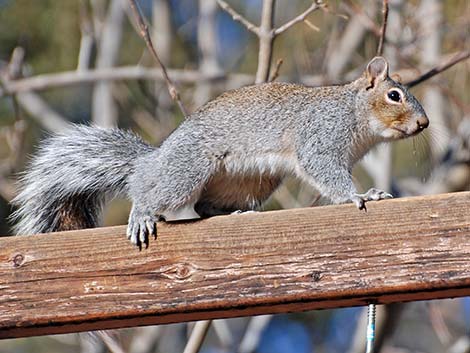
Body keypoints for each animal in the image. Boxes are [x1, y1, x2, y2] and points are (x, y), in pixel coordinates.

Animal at [11, 55, 430, 248]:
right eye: (394, 95)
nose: (424, 123)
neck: (355, 115)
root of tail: (152, 161)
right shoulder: (320, 137)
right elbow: (326, 173)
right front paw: (361, 195)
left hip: (250, 182)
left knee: (204, 207)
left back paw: (237, 213)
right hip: (187, 170)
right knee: (149, 192)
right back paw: (142, 213)